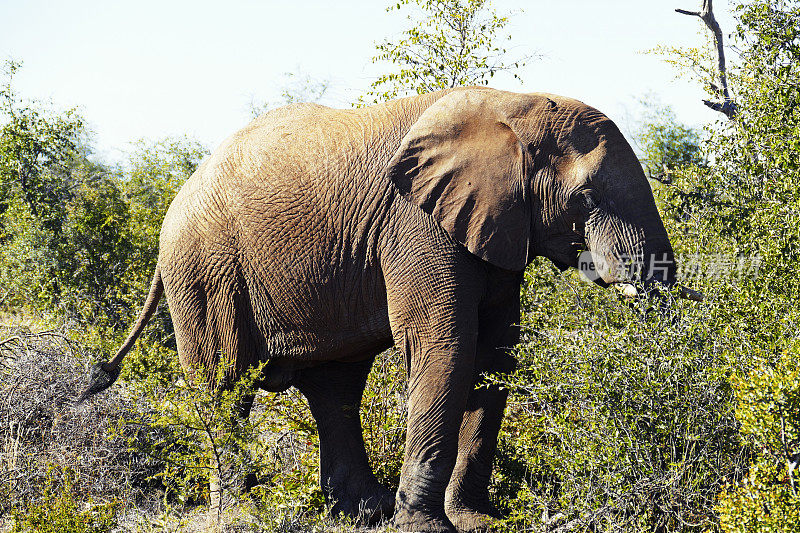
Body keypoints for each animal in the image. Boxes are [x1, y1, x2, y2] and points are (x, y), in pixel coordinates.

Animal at [78, 87, 696, 532]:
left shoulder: (493, 228)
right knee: (225, 384)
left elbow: (496, 355)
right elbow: (446, 347)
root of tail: (173, 206)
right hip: (204, 271)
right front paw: (426, 528)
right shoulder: (416, 224)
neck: (510, 108)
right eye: (584, 199)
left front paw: (478, 521)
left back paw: (362, 512)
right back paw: (243, 515)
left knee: (334, 389)